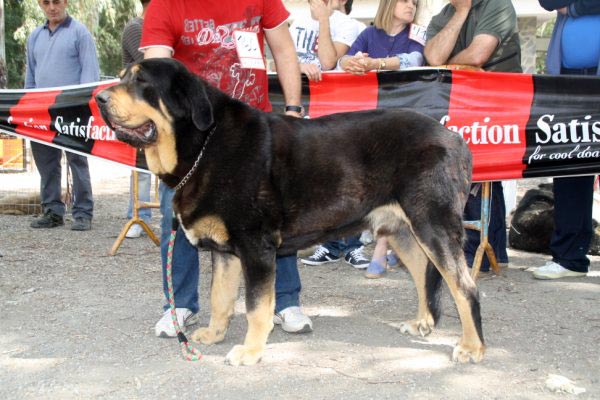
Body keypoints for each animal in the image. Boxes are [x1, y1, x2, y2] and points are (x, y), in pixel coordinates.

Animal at [96, 57, 486, 368]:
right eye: (122, 76)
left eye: (141, 82)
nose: (98, 98)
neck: (204, 144)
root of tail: (456, 138)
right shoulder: (225, 252)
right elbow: (220, 298)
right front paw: (215, 333)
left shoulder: (256, 247)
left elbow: (256, 308)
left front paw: (250, 351)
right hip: (404, 230)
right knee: (423, 274)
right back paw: (422, 323)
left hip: (433, 225)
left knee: (464, 286)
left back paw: (472, 346)